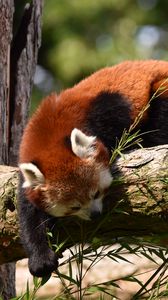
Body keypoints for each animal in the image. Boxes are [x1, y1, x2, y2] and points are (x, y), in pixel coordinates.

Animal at [18, 60, 168, 276]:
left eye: (96, 193)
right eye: (74, 207)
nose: (95, 215)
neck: (49, 133)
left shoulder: (109, 110)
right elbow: (29, 214)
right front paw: (40, 258)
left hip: (160, 89)